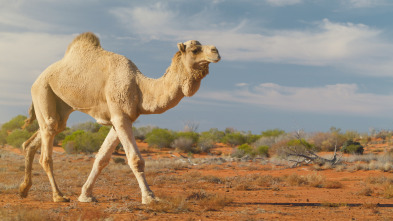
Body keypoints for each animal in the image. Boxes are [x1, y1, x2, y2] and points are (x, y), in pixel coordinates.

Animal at [19, 32, 220, 204]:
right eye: (195, 50)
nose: (216, 51)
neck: (140, 88)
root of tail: (36, 80)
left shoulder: (121, 119)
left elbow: (101, 159)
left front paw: (86, 195)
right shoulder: (120, 117)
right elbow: (135, 159)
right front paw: (150, 197)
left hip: (60, 107)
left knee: (36, 139)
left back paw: (24, 189)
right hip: (43, 90)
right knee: (47, 149)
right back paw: (58, 196)